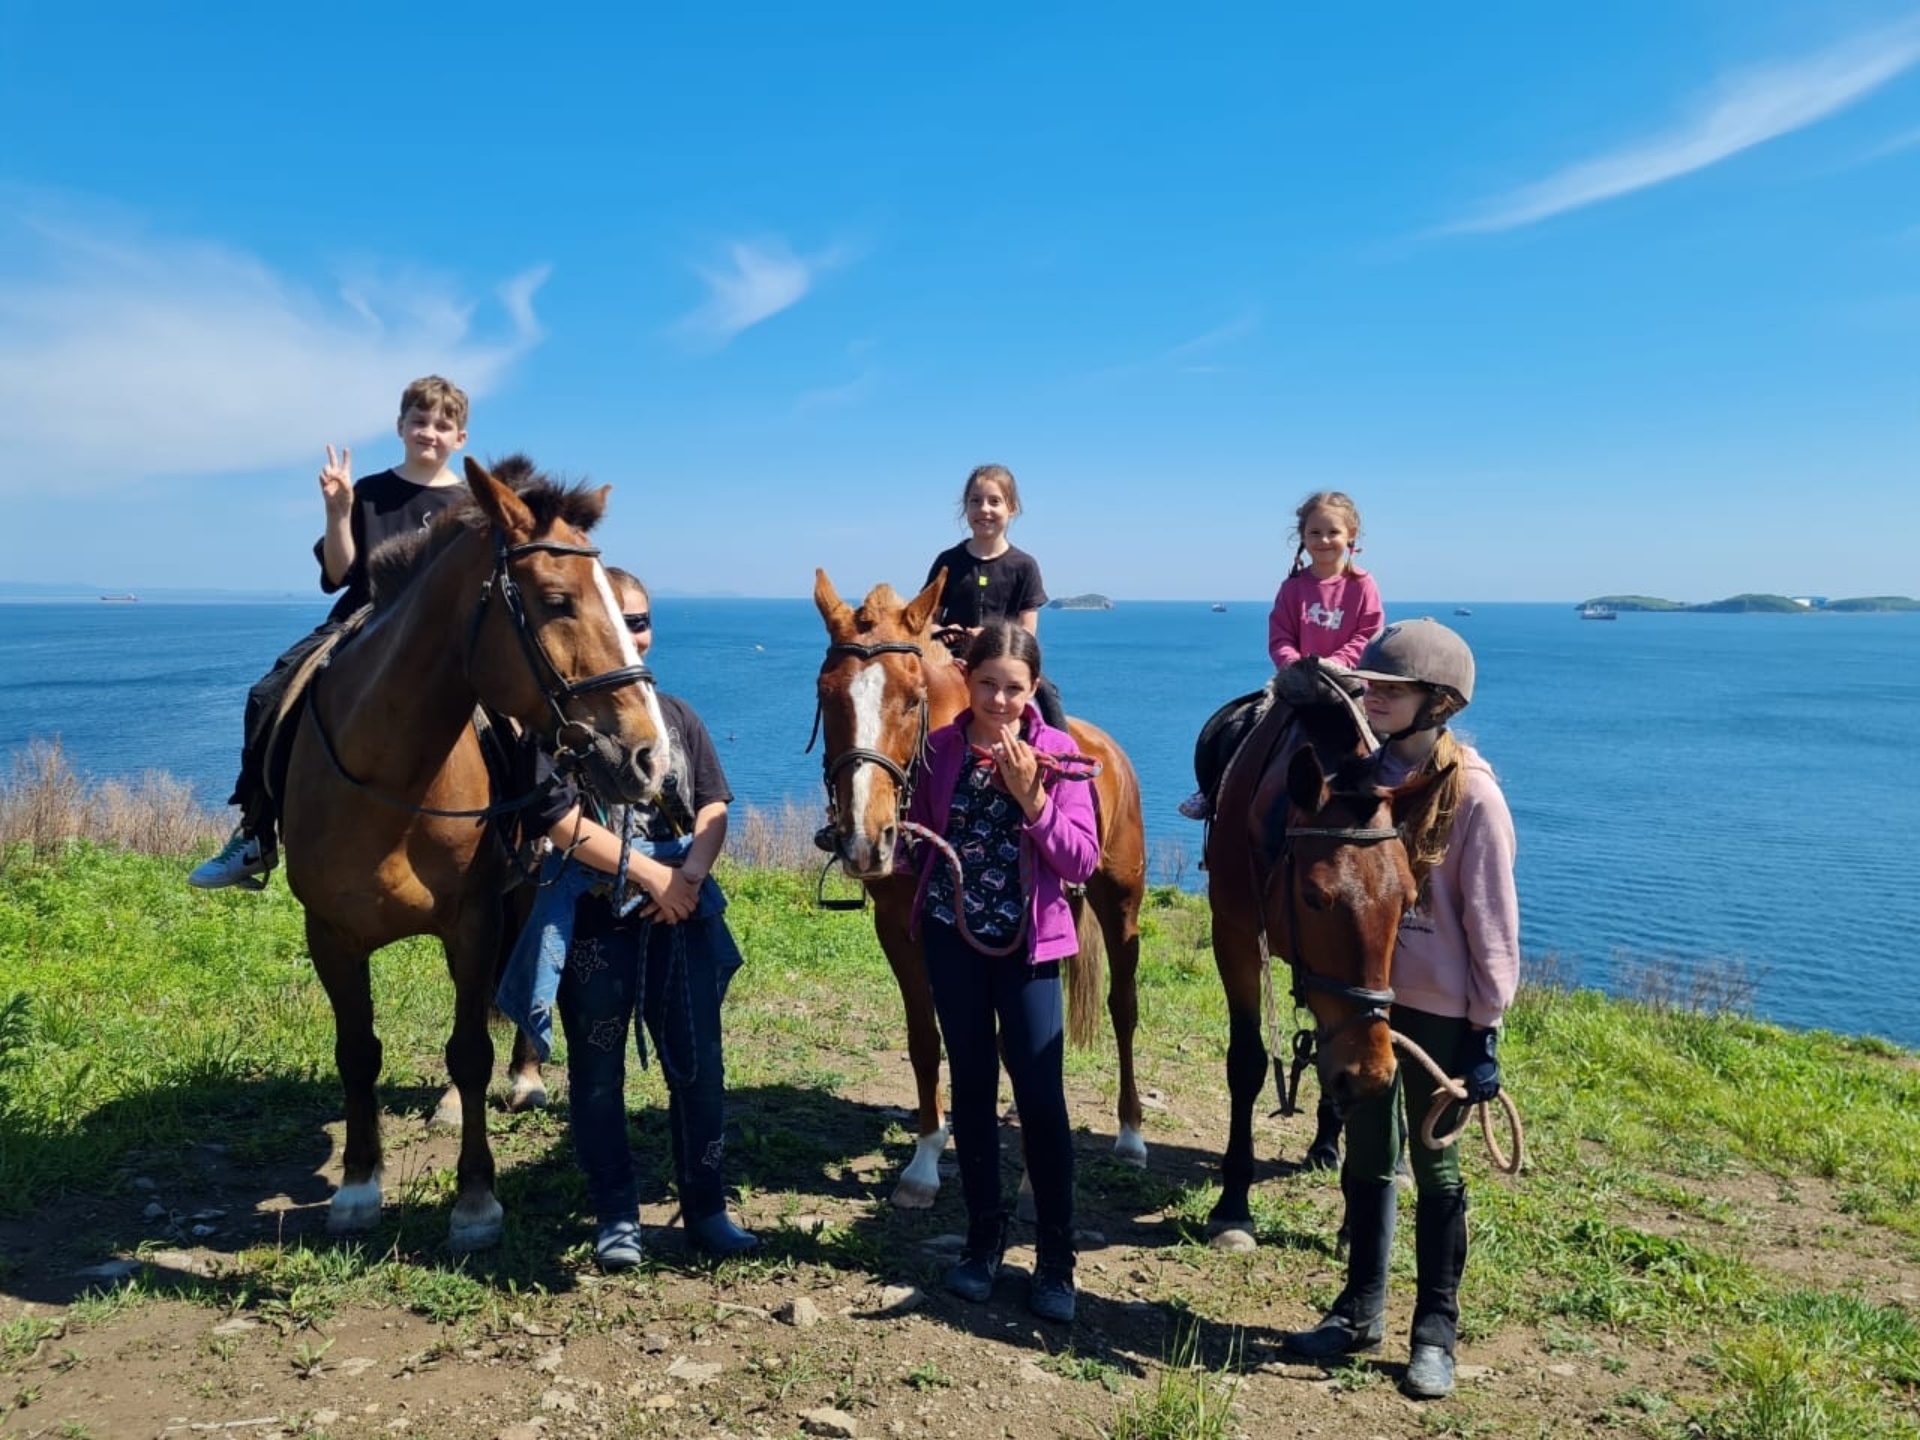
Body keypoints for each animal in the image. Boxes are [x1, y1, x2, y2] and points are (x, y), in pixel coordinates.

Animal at [280, 462, 672, 1251]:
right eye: (557, 601)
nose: (650, 756)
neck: (390, 780)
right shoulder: (328, 934)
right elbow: (357, 1052)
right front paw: (358, 1188)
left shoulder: (474, 920)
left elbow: (470, 1049)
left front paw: (475, 1199)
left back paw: (524, 1077)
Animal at [806, 568, 1144, 1213]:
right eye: (825, 695)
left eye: (912, 700)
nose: (865, 839)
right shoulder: (901, 927)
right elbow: (926, 1036)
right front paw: (924, 1161)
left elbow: (1020, 1047)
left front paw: (1035, 1178)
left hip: (1121, 903)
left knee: (1124, 1008)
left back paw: (1132, 1134)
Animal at [1198, 675, 1443, 1251]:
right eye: (1313, 898)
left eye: (1407, 899)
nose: (1368, 1074)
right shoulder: (1235, 938)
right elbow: (1247, 1063)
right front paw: (1233, 1205)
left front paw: (1359, 1215)